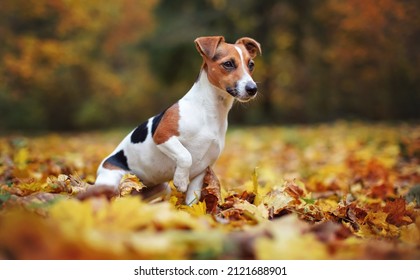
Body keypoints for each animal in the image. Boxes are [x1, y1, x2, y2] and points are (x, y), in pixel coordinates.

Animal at [84, 36, 262, 205]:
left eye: (251, 65)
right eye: (228, 64)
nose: (252, 89)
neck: (208, 111)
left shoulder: (202, 169)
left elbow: (192, 199)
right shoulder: (162, 136)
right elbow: (185, 156)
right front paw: (181, 180)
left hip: (159, 188)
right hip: (111, 181)